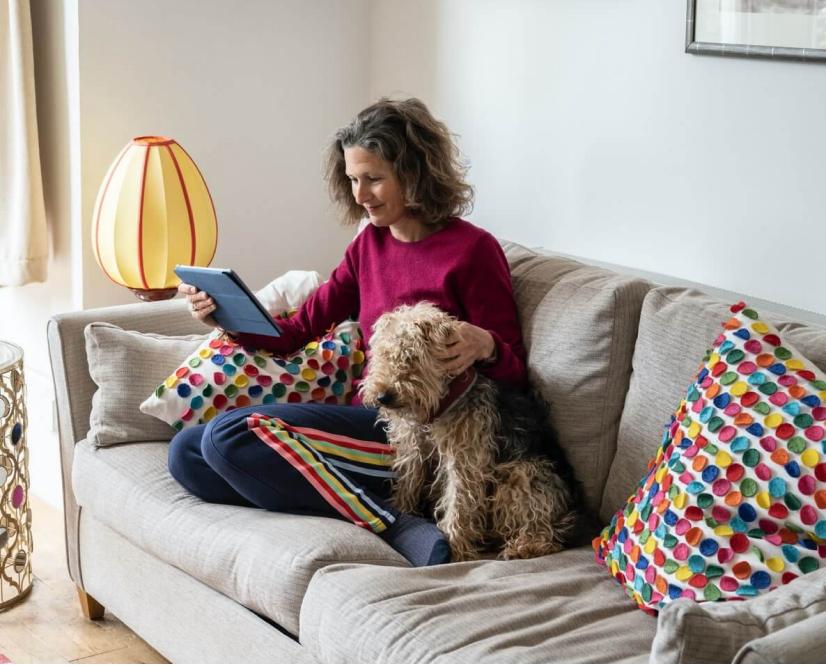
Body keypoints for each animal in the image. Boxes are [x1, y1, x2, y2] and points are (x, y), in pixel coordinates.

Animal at [360, 302, 580, 560]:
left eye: (411, 356)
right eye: (383, 354)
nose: (383, 396)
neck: (441, 404)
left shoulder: (465, 461)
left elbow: (459, 504)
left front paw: (455, 548)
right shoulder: (413, 451)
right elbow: (408, 485)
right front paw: (403, 510)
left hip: (522, 475)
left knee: (546, 532)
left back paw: (523, 546)